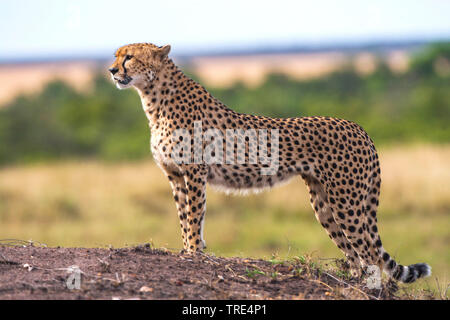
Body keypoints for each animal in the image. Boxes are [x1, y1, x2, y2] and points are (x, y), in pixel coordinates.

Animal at [110, 42, 432, 282]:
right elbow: (184, 217)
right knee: (355, 255)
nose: (111, 70)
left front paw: (192, 254)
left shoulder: (194, 173)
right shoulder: (175, 175)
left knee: (370, 255)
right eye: (116, 55)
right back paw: (353, 281)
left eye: (129, 57)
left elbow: (193, 217)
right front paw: (190, 250)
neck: (154, 98)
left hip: (347, 202)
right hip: (324, 203)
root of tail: (358, 127)